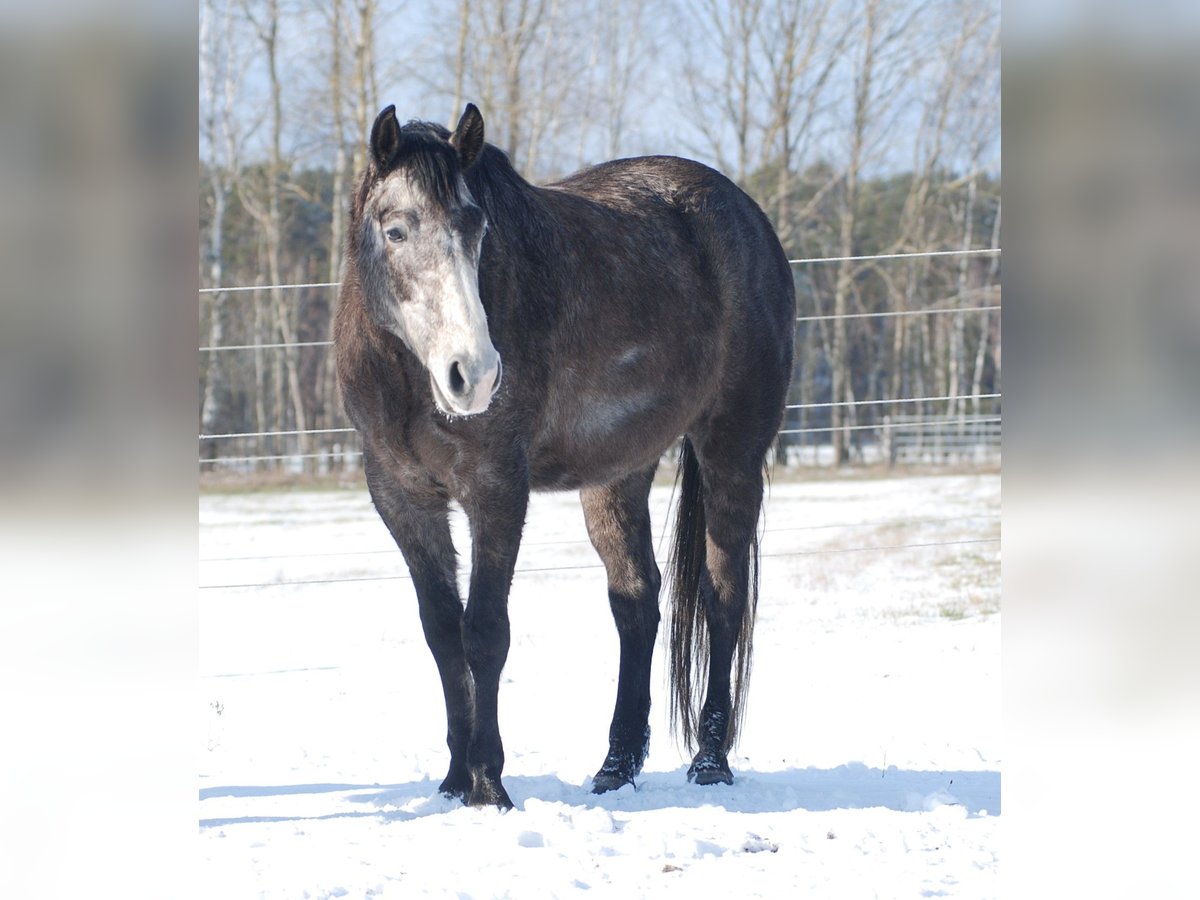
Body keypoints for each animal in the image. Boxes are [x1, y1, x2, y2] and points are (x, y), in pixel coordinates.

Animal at [333, 105, 796, 811]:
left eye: (477, 227)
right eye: (396, 229)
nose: (473, 373)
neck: (407, 378)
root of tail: (749, 218)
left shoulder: (496, 488)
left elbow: (484, 632)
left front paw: (488, 783)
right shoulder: (400, 496)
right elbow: (442, 634)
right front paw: (453, 778)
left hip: (732, 452)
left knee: (723, 596)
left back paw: (711, 760)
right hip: (617, 474)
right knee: (637, 604)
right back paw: (616, 765)